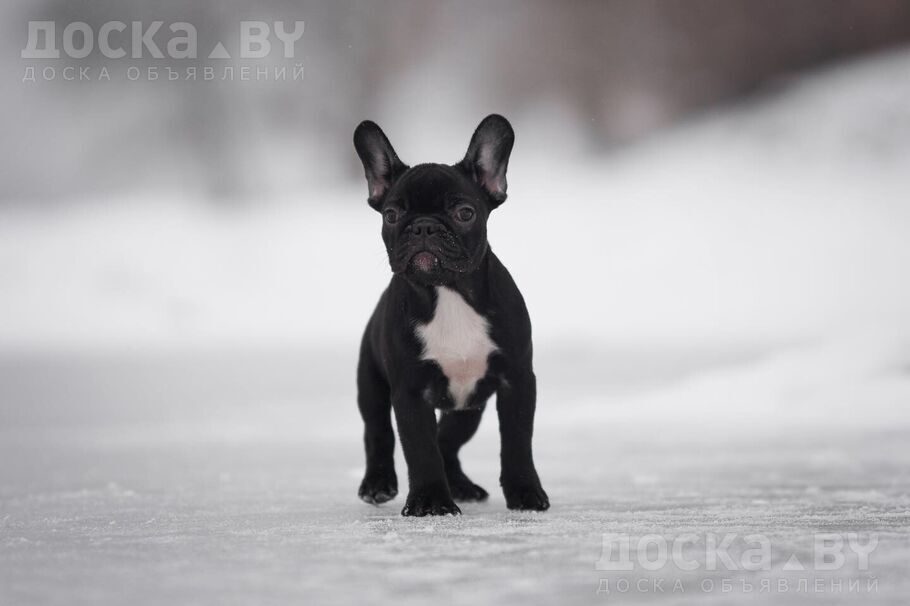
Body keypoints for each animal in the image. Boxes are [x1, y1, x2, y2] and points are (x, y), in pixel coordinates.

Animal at [354, 115, 548, 516]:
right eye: (392, 215)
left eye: (464, 213)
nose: (424, 226)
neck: (448, 292)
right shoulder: (410, 392)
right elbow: (420, 448)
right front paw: (430, 501)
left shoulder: (517, 381)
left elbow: (518, 440)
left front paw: (525, 492)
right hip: (372, 386)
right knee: (378, 432)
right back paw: (378, 483)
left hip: (467, 409)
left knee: (448, 440)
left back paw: (460, 485)